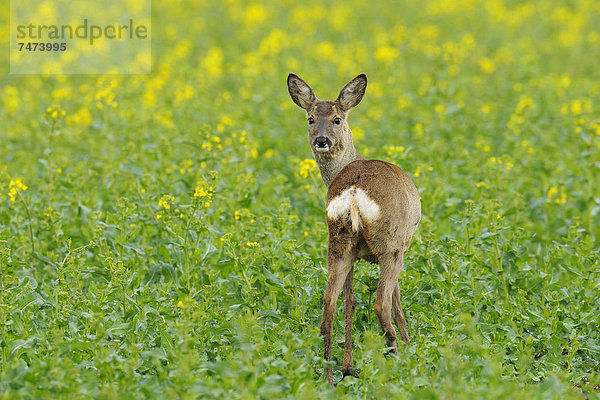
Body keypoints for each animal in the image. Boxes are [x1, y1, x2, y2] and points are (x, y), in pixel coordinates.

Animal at [288, 72, 422, 384]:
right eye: (310, 118)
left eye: (336, 118)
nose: (321, 140)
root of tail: (353, 191)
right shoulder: (402, 245)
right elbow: (396, 300)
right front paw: (410, 346)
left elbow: (348, 301)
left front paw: (348, 366)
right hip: (389, 244)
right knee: (382, 304)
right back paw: (398, 363)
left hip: (338, 243)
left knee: (328, 305)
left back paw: (330, 376)